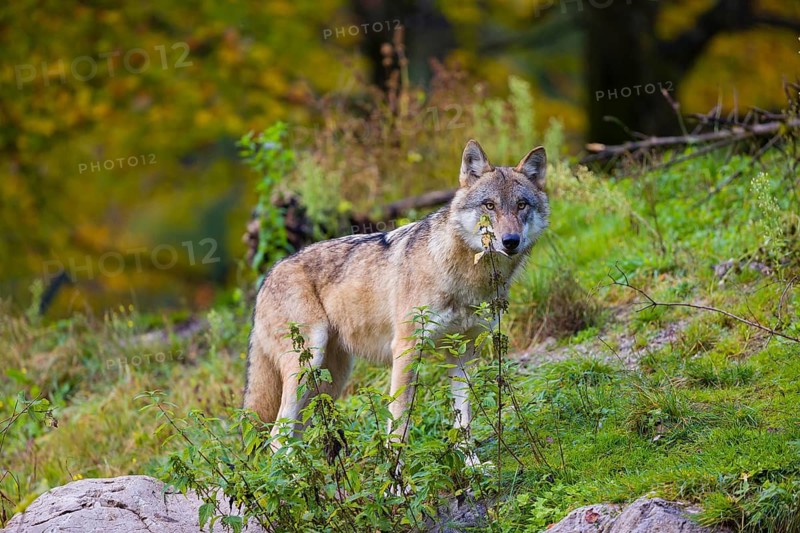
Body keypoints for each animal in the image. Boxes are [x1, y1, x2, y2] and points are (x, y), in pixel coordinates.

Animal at [244, 139, 549, 446]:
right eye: (489, 205)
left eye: (521, 205)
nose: (511, 241)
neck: (464, 278)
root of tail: (267, 276)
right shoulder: (406, 348)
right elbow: (400, 421)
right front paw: (395, 461)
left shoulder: (463, 353)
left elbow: (464, 420)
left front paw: (471, 458)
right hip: (308, 365)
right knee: (277, 437)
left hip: (329, 381)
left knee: (295, 435)